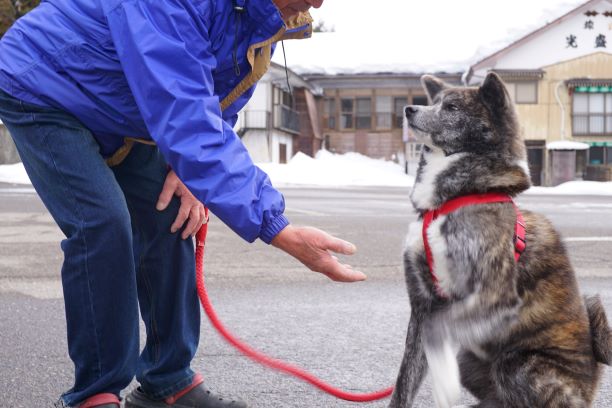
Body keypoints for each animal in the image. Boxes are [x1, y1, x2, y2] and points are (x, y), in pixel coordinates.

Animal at [390, 73, 612, 408]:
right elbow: (405, 381)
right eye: (434, 102)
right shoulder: (422, 301)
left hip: (517, 363)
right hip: (472, 360)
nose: (408, 110)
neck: (453, 200)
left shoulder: (493, 295)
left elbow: (437, 330)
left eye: (452, 107)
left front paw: (444, 381)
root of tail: (593, 374)